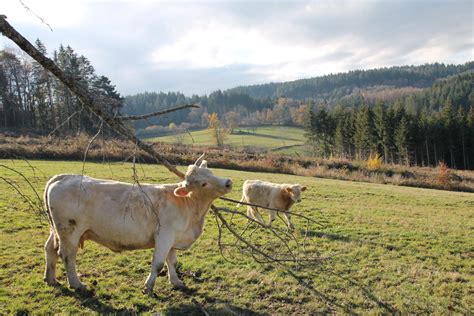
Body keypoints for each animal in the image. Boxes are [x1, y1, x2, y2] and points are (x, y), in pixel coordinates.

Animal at [42, 155, 231, 294]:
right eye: (203, 183)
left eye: (211, 172)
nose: (228, 182)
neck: (191, 210)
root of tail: (65, 177)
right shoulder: (164, 237)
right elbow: (158, 263)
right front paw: (148, 287)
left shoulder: (173, 239)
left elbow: (172, 261)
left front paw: (176, 282)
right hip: (70, 231)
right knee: (67, 255)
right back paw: (77, 284)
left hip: (56, 229)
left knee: (50, 248)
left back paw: (51, 279)